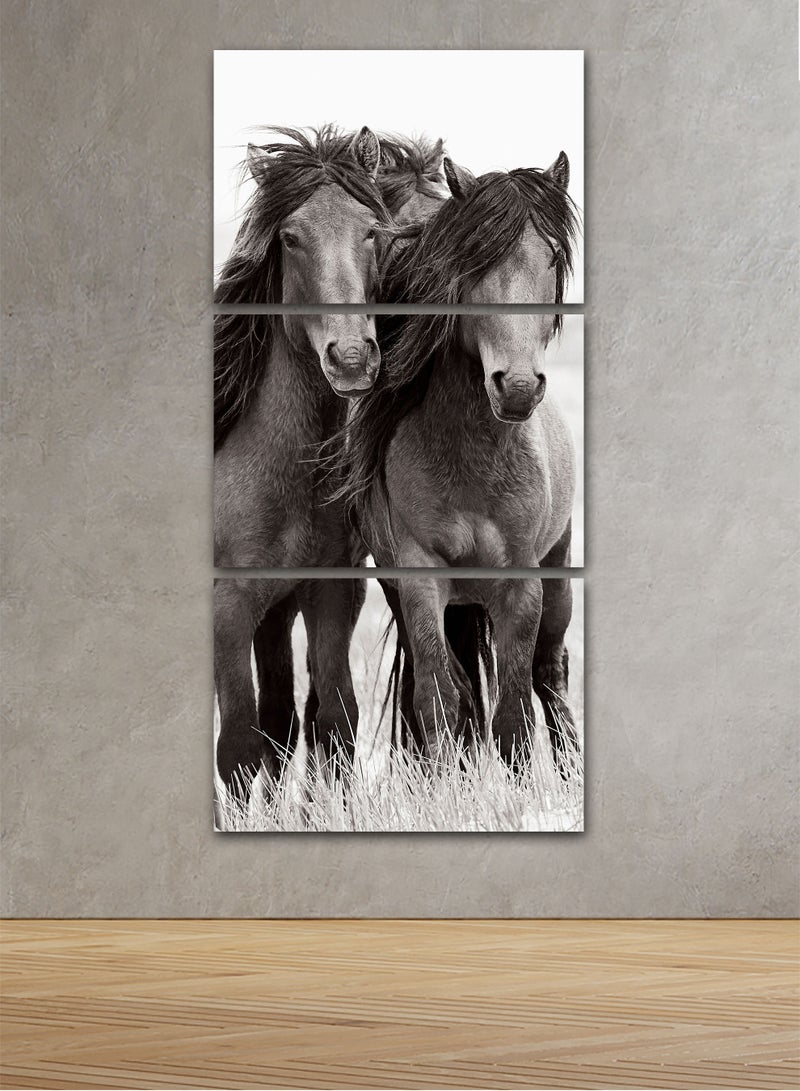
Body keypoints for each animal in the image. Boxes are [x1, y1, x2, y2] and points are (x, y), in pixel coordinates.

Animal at [213, 125, 390, 802]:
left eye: (372, 231)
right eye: (290, 237)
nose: (350, 359)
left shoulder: (329, 594)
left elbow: (331, 723)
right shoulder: (228, 609)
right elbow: (238, 747)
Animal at [341, 152, 582, 773]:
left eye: (551, 258)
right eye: (475, 262)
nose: (517, 386)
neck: (473, 463)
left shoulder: (523, 586)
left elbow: (515, 714)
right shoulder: (420, 582)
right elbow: (439, 698)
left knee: (550, 673)